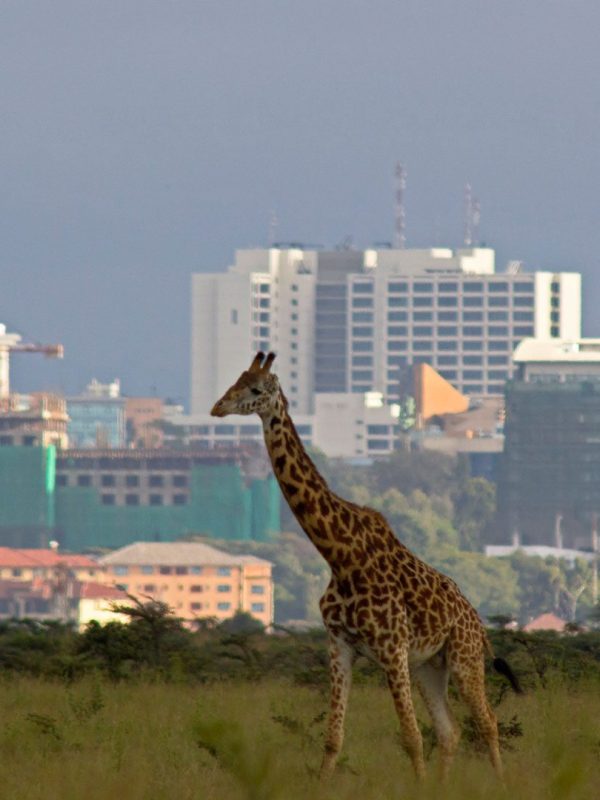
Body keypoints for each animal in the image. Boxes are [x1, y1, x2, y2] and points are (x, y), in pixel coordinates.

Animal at [212, 352, 520, 780]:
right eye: (235, 381)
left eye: (255, 388)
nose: (217, 407)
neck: (340, 557)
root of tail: (476, 618)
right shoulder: (340, 645)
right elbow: (333, 737)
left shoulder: (392, 650)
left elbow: (411, 738)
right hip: (429, 666)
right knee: (451, 731)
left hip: (464, 658)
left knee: (486, 722)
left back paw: (501, 783)